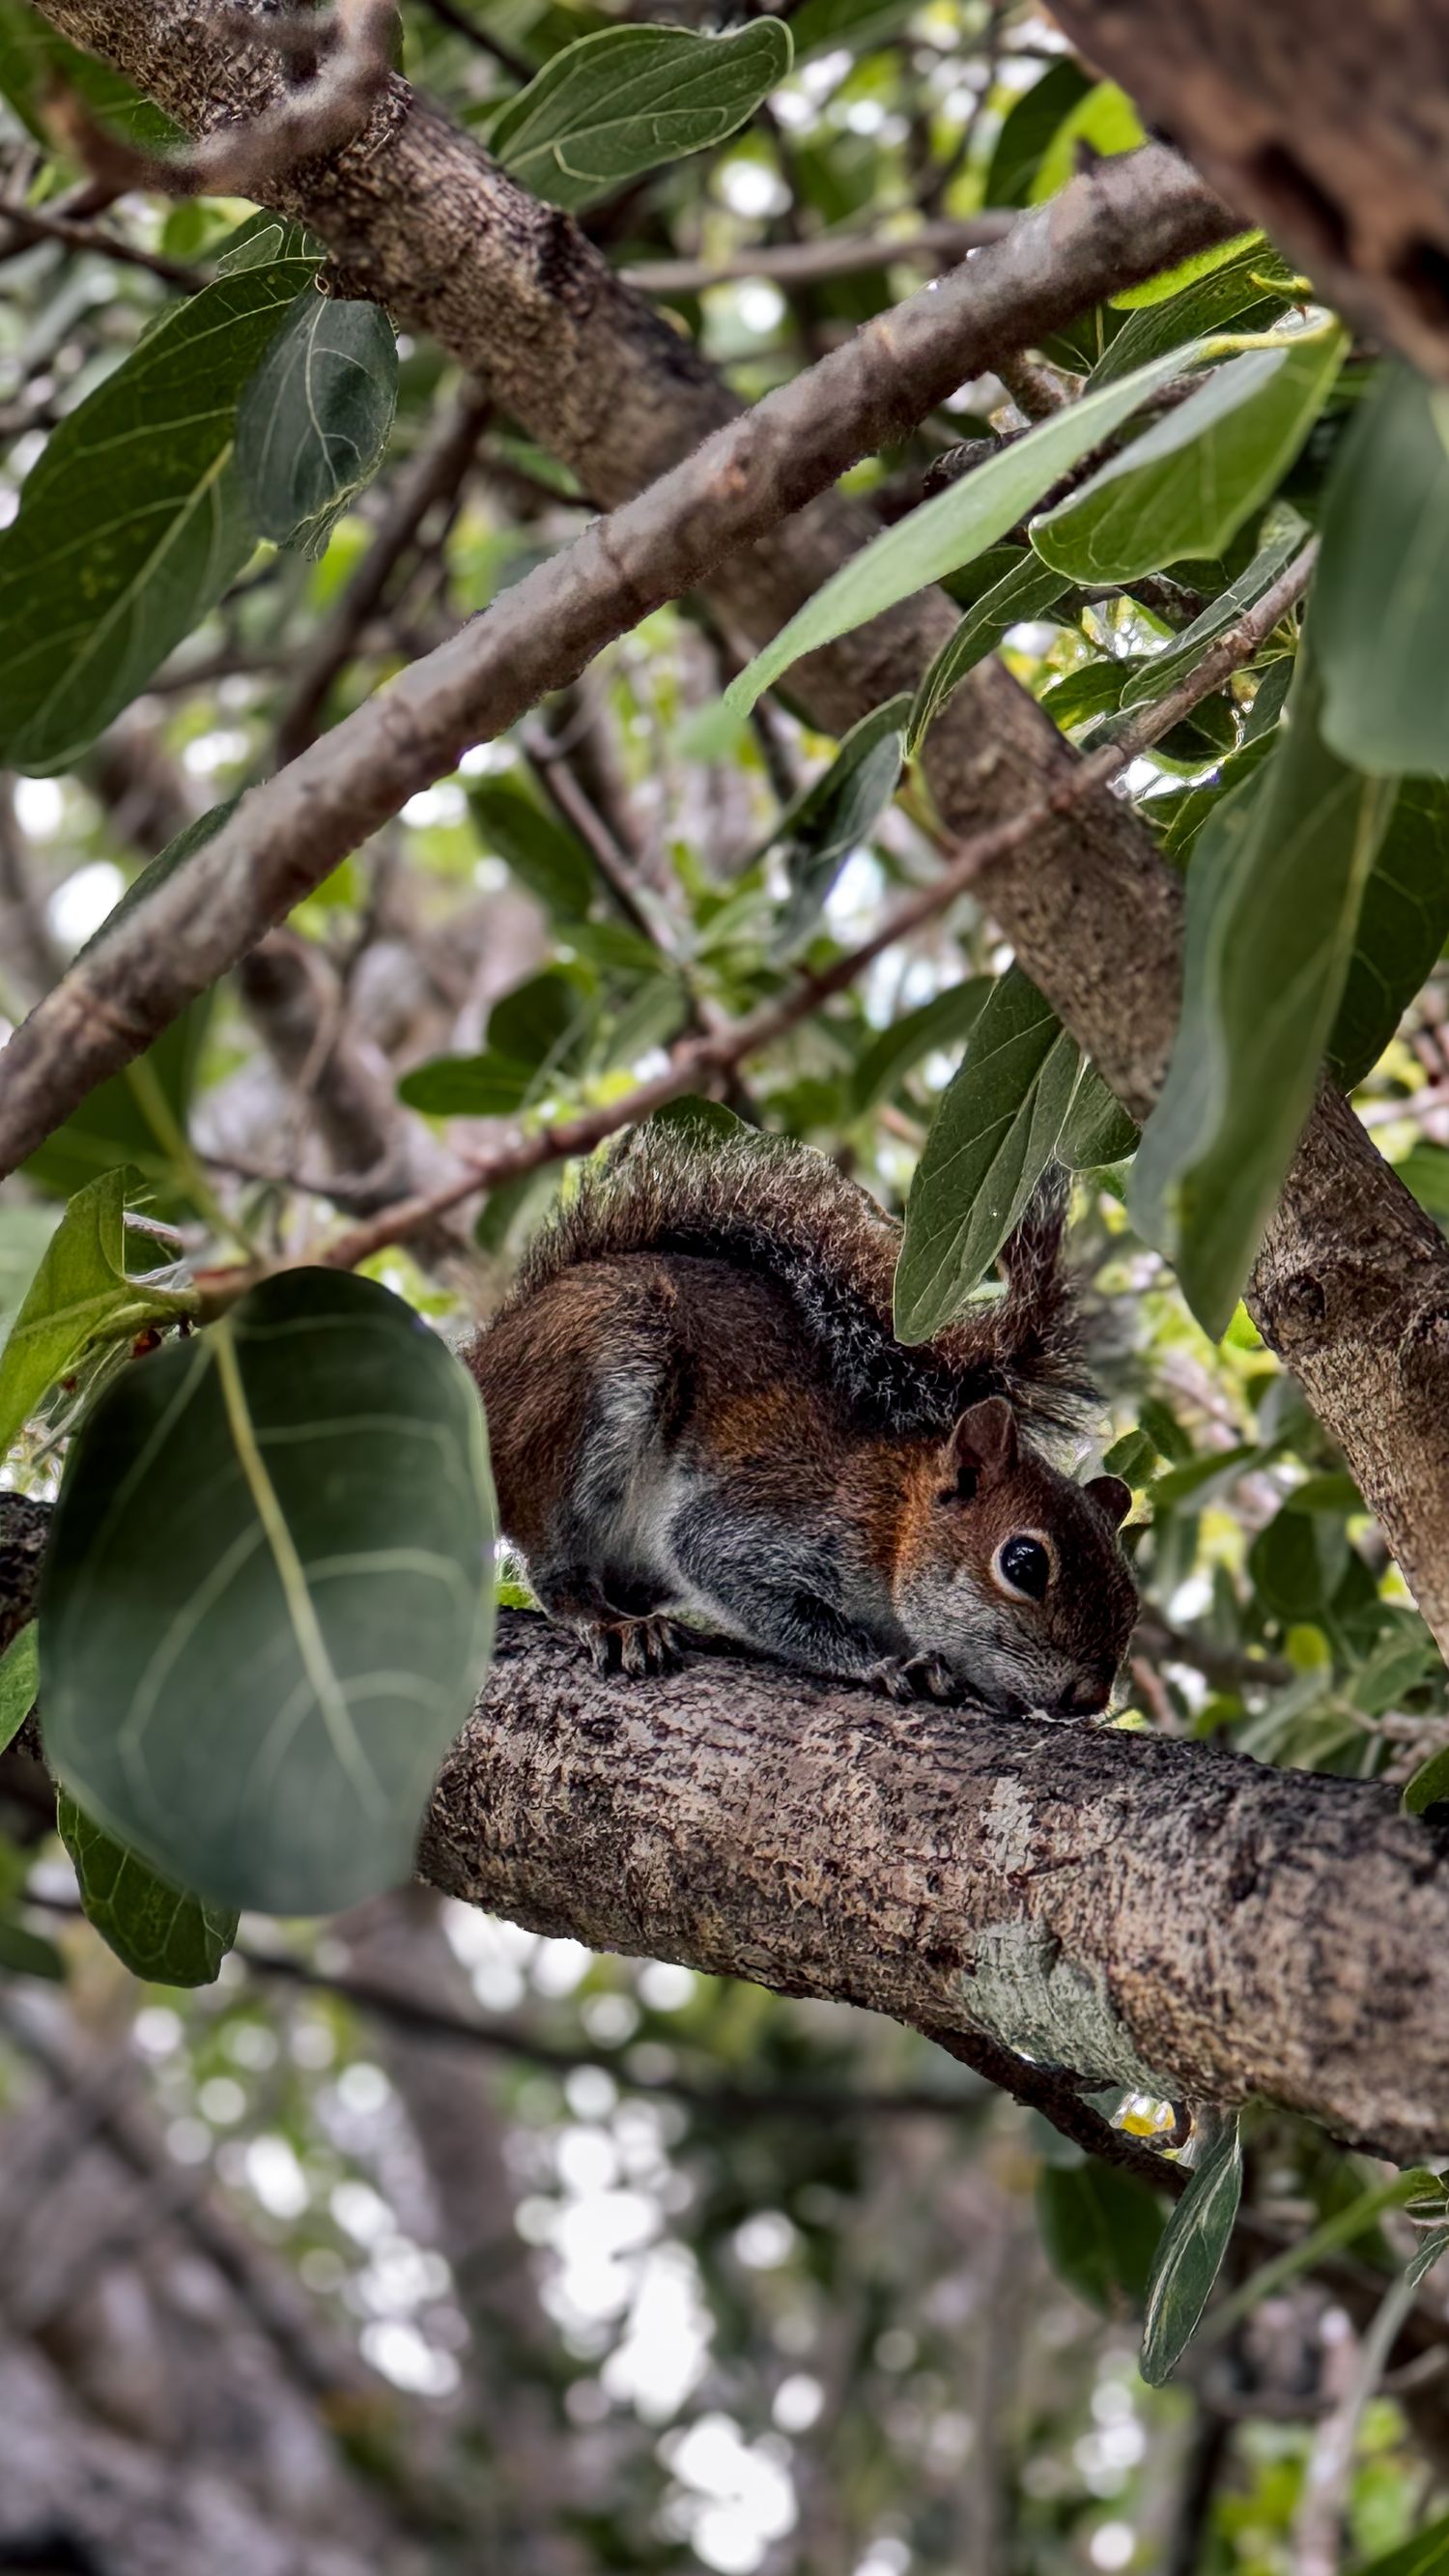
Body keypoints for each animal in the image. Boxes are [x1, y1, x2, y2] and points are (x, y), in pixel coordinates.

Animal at [467, 1125, 1138, 1714]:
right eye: (1024, 1563)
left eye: (1131, 1593)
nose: (1089, 1701)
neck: (895, 1512)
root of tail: (483, 1366)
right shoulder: (765, 1523)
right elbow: (739, 1576)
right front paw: (892, 1664)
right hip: (603, 1369)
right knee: (554, 1565)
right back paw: (606, 1619)